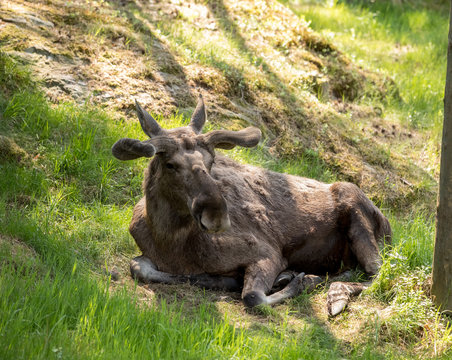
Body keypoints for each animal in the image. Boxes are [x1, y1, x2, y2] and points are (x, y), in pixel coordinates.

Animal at [111, 95, 390, 316]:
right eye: (170, 164)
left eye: (212, 161)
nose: (216, 215)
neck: (169, 241)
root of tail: (387, 224)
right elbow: (138, 267)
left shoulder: (268, 252)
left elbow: (253, 297)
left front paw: (300, 281)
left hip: (356, 208)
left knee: (377, 273)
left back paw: (330, 292)